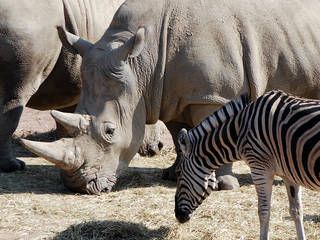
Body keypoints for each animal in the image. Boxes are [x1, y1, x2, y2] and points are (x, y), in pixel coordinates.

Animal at [174, 89, 320, 240]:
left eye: (178, 173)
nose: (178, 215)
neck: (240, 130)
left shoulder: (259, 169)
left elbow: (263, 212)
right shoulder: (289, 174)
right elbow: (296, 211)